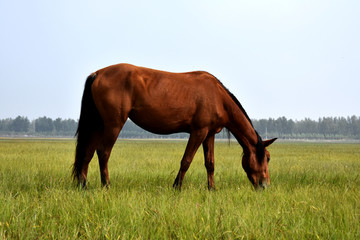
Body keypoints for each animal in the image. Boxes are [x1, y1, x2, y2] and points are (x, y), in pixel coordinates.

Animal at [71, 63, 278, 189]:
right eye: (267, 158)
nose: (265, 185)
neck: (217, 96)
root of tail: (97, 74)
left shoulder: (209, 134)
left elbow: (210, 163)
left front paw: (212, 189)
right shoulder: (198, 132)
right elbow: (186, 160)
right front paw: (176, 187)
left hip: (98, 124)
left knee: (87, 153)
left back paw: (83, 186)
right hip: (113, 124)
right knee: (103, 152)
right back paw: (106, 186)